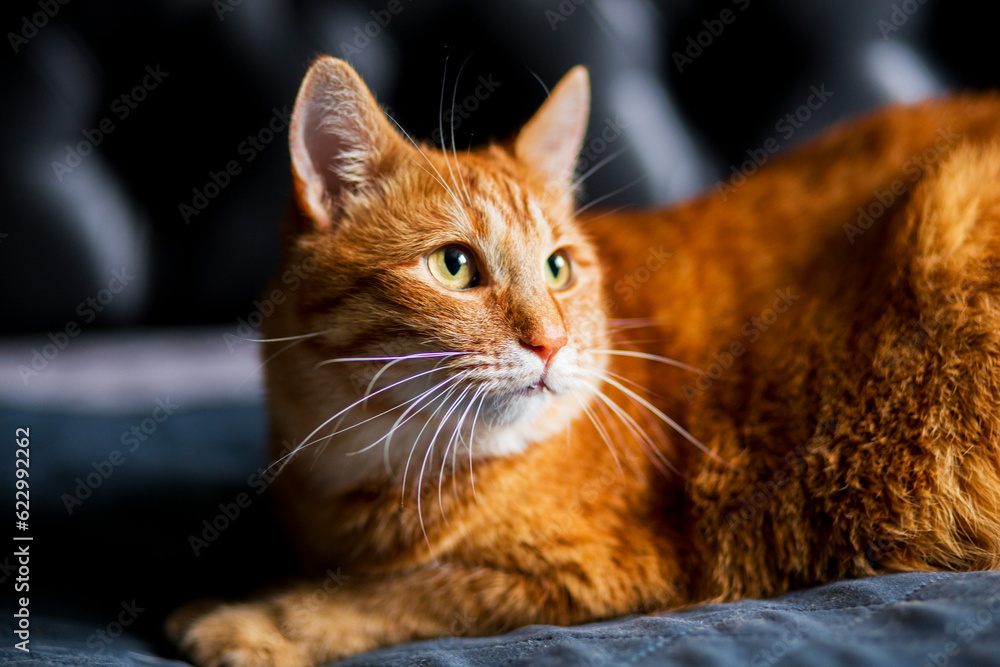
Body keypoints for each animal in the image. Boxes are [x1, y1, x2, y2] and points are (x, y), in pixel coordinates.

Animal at [168, 58, 1000, 667]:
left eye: (559, 267)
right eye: (454, 266)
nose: (549, 341)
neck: (369, 465)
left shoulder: (602, 569)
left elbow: (397, 592)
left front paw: (251, 618)